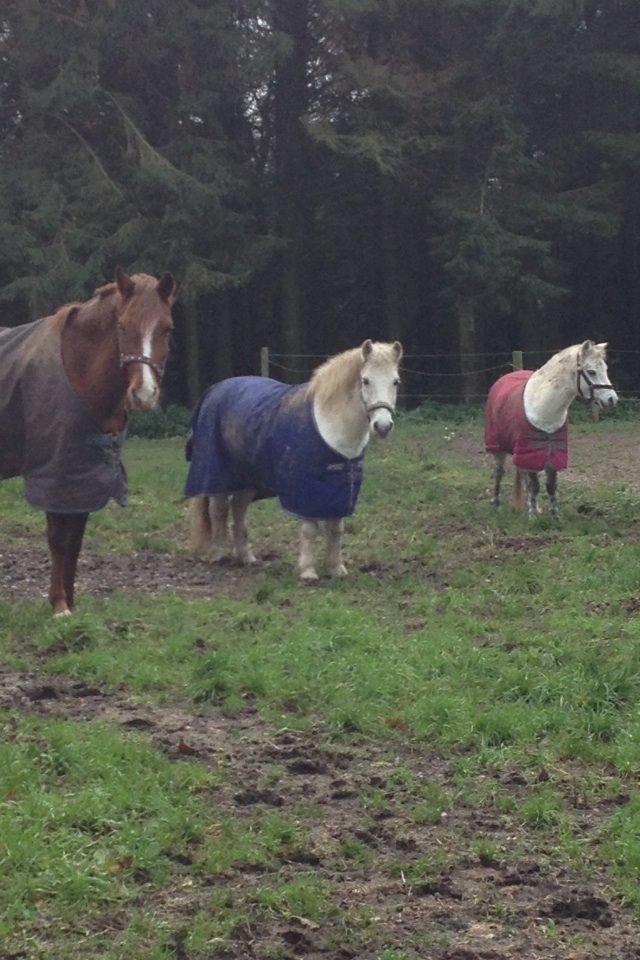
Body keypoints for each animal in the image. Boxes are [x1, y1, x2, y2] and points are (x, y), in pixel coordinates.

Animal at [0, 268, 175, 616]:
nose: (144, 394)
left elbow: (75, 541)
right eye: (123, 326)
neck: (78, 370)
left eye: (167, 328)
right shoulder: (55, 474)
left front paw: (70, 601)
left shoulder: (82, 475)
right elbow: (57, 538)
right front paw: (59, 606)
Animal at [185, 340, 402, 576]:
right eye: (366, 380)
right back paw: (217, 555)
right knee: (218, 510)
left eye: (396, 382)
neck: (330, 425)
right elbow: (309, 530)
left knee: (238, 509)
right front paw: (307, 571)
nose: (383, 426)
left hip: (248, 479)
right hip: (219, 476)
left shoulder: (339, 491)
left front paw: (335, 568)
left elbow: (336, 529)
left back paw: (247, 557)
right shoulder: (304, 492)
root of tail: (215, 389)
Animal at [488, 340, 616, 516]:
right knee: (498, 472)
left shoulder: (553, 452)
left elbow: (551, 485)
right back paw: (496, 503)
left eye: (605, 369)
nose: (612, 399)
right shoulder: (531, 451)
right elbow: (535, 485)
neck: (543, 407)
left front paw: (553, 514)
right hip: (497, 447)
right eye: (591, 372)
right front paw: (533, 516)